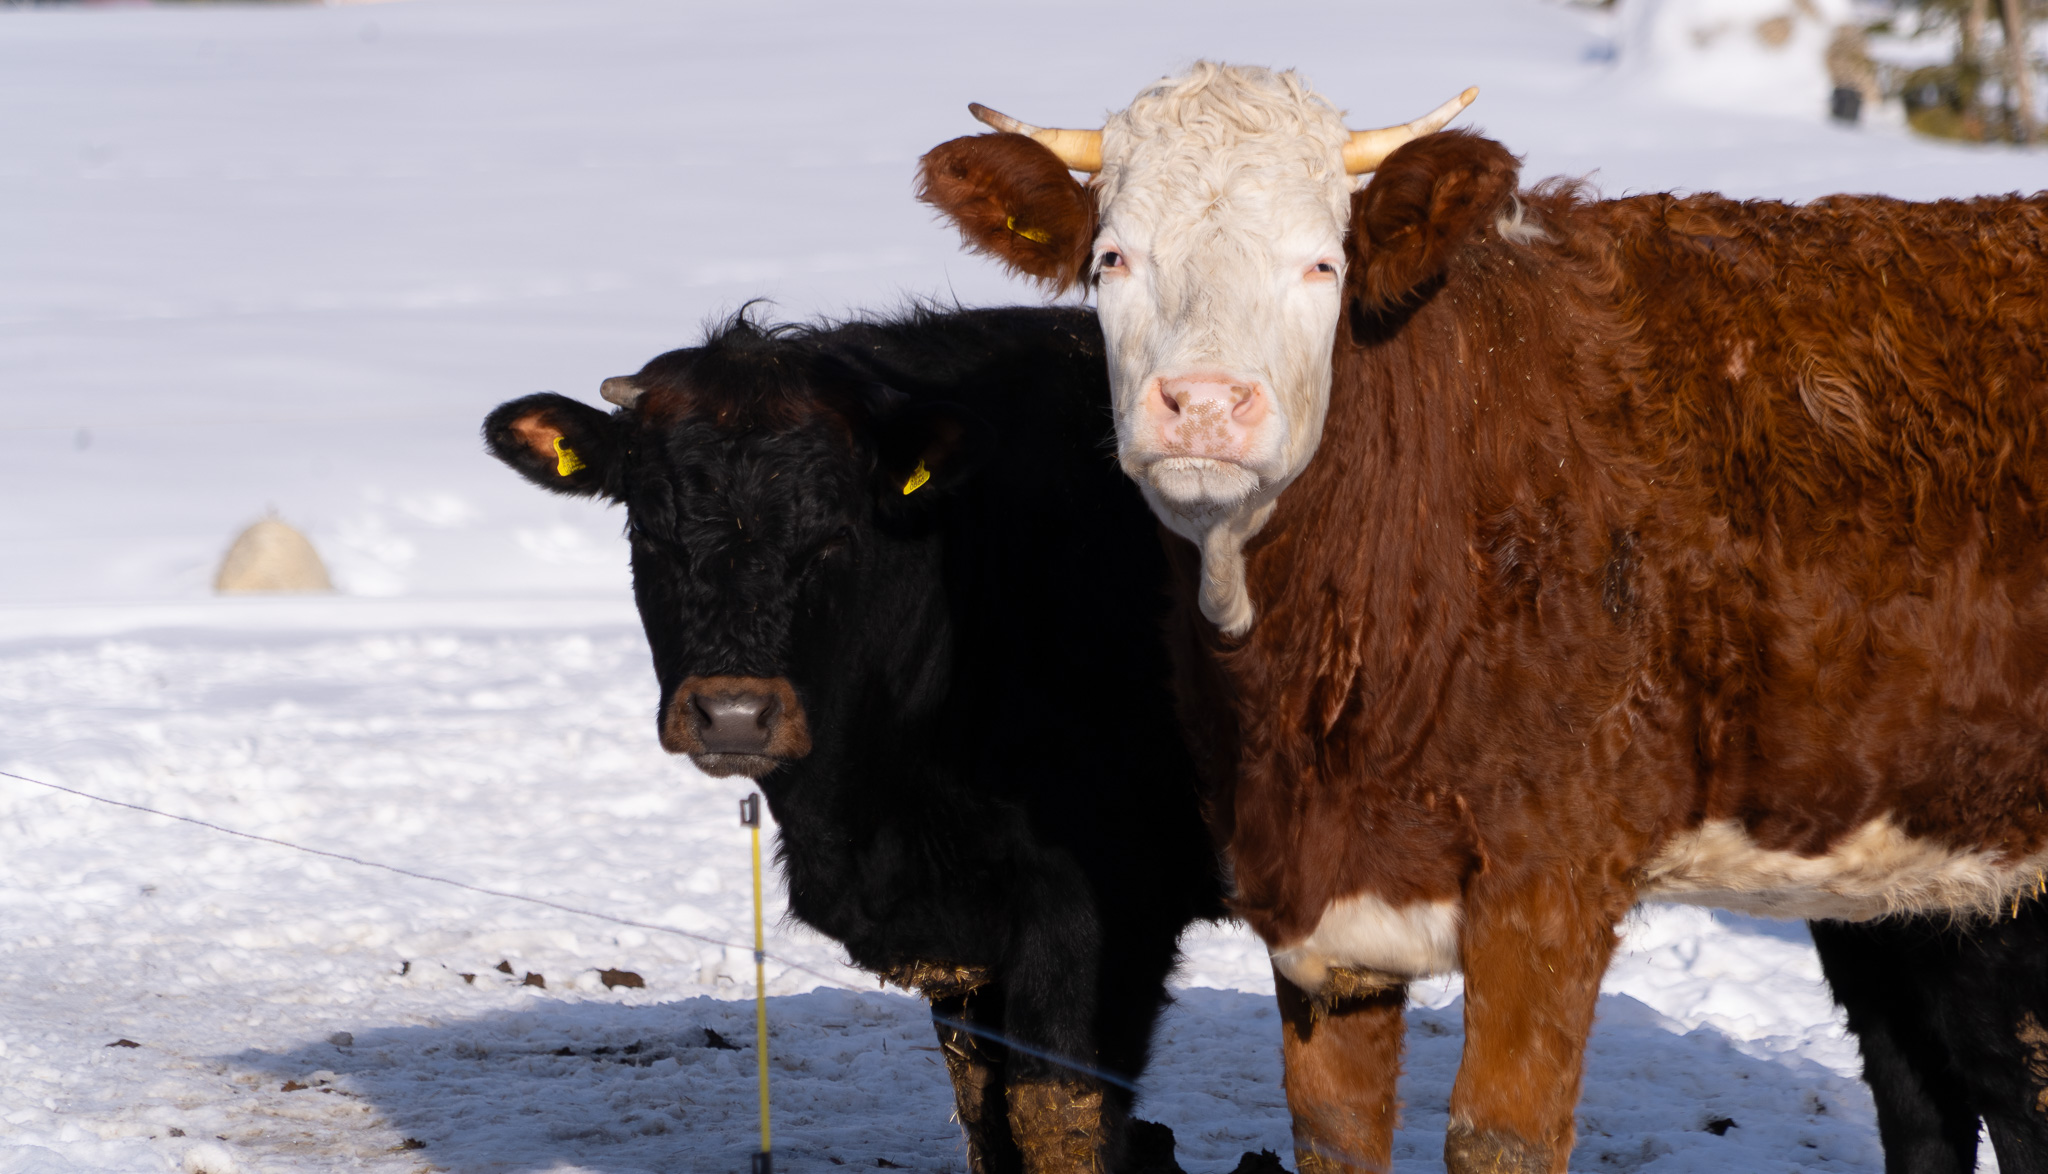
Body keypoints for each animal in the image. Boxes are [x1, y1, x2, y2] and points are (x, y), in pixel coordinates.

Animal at [482, 306, 1227, 1174]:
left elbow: (1055, 1114)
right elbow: (985, 1112)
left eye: (835, 534)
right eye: (649, 530)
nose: (733, 713)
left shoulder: (1102, 897)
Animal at [916, 62, 2048, 1174]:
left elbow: (1501, 1134)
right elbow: (1335, 1132)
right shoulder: (1324, 909)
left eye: (1321, 264)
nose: (1200, 403)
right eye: (1111, 258)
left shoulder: (1551, 877)